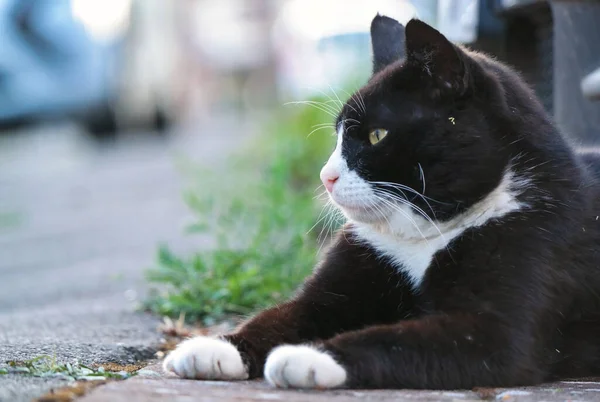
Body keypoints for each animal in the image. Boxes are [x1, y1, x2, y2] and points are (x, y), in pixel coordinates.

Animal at [162, 15, 600, 390]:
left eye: (376, 135)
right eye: (339, 134)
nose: (325, 176)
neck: (426, 235)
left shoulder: (497, 325)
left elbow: (395, 339)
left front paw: (311, 357)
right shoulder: (349, 272)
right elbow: (284, 314)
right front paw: (216, 347)